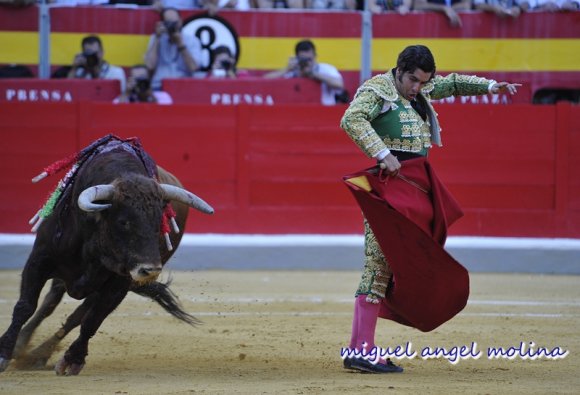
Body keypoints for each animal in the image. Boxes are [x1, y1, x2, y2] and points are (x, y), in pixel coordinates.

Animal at [0, 138, 214, 376]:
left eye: (161, 222)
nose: (150, 270)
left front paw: (72, 360)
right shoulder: (39, 260)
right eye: (123, 222)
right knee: (50, 301)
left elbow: (92, 320)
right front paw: (4, 353)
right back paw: (23, 345)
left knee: (77, 315)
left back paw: (40, 354)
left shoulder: (120, 283)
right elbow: (25, 306)